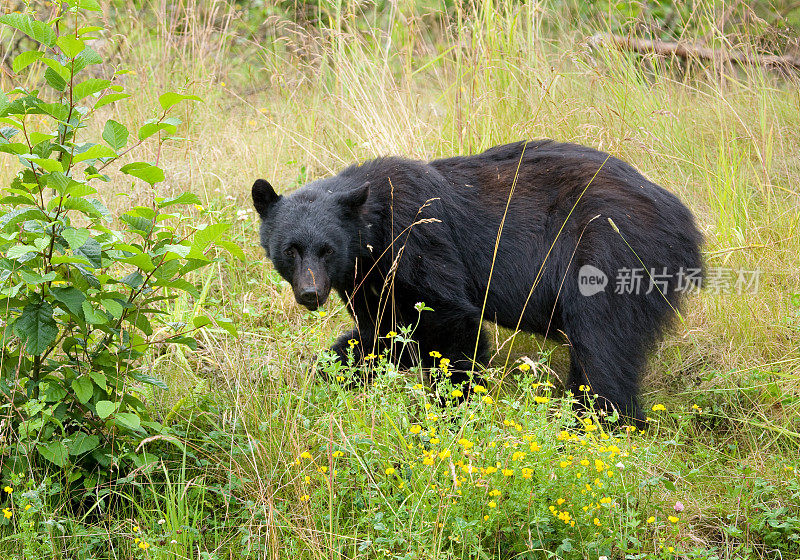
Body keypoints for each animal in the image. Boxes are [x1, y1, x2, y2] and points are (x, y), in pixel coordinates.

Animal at [253, 140, 704, 420]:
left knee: (602, 348)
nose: (311, 293)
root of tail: (686, 223)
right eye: (290, 249)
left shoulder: (418, 238)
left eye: (327, 249)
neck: (373, 228)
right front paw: (330, 372)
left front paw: (453, 410)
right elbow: (384, 334)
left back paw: (594, 424)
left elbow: (452, 323)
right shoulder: (370, 279)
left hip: (609, 253)